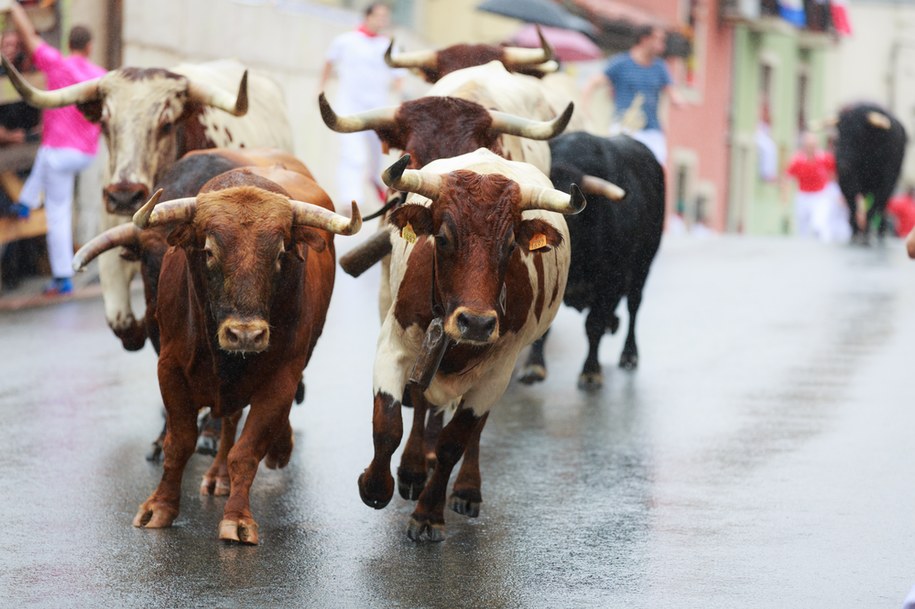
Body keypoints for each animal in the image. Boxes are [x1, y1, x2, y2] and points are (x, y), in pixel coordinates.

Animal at [128, 162, 362, 540]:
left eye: (280, 254)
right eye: (209, 251)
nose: (245, 335)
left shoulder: (282, 379)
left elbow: (247, 451)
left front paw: (237, 518)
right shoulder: (170, 368)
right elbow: (179, 443)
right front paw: (158, 507)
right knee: (229, 419)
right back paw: (218, 475)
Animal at [360, 147, 588, 540]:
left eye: (510, 245)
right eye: (443, 238)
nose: (478, 323)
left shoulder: (498, 371)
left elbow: (454, 442)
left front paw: (428, 514)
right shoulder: (394, 343)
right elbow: (388, 423)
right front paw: (375, 486)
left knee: (473, 430)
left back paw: (466, 489)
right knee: (421, 402)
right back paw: (412, 470)